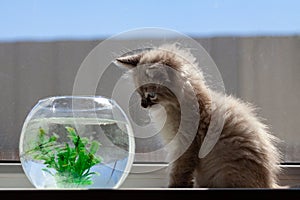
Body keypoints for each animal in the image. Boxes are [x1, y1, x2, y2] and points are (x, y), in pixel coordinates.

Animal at [114, 43, 282, 188]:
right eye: (139, 93)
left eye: (151, 95)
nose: (143, 105)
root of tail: (269, 183)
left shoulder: (186, 145)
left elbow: (179, 172)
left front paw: (174, 187)